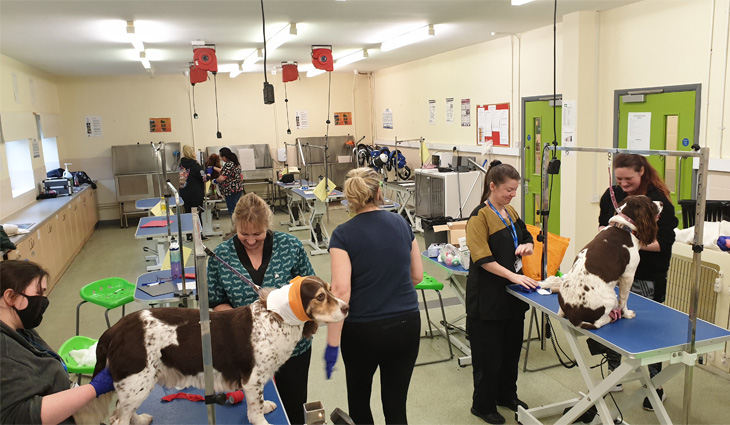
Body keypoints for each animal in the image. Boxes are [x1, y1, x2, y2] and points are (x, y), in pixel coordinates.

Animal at [75, 274, 348, 424]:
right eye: (320, 296)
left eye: (330, 289)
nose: (346, 307)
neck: (276, 317)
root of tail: (115, 329)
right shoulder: (253, 379)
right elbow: (255, 410)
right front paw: (261, 418)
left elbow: (257, 404)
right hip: (137, 380)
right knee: (118, 417)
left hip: (136, 385)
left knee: (126, 411)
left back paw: (140, 419)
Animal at [540, 194, 660, 330]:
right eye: (651, 203)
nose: (662, 203)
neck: (624, 227)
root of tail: (573, 315)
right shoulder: (628, 275)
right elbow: (624, 300)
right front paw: (627, 314)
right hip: (611, 297)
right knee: (598, 323)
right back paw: (611, 318)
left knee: (560, 312)